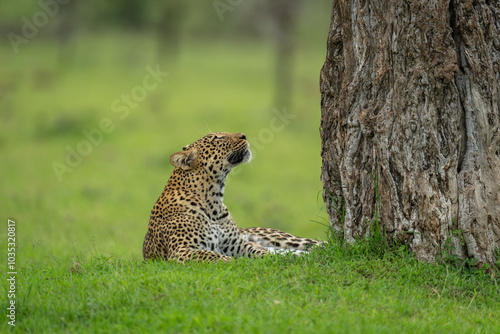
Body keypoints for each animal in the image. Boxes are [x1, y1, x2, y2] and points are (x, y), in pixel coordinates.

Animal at [142, 132, 320, 262]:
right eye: (217, 138)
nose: (244, 135)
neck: (213, 200)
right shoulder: (180, 251)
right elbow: (212, 256)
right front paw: (232, 262)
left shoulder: (238, 245)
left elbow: (261, 252)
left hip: (284, 238)